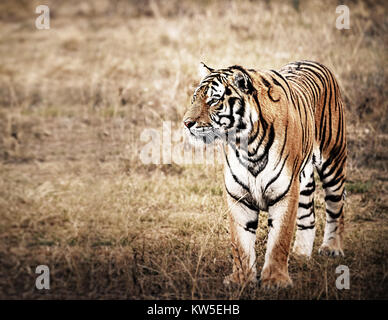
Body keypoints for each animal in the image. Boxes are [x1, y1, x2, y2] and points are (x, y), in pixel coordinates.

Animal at [183, 60, 348, 290]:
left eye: (214, 100)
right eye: (194, 98)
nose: (186, 123)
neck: (247, 145)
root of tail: (316, 62)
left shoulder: (285, 194)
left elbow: (279, 239)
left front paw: (275, 280)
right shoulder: (238, 196)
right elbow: (240, 243)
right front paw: (241, 279)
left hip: (333, 162)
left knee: (336, 208)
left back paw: (332, 247)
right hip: (303, 181)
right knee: (308, 217)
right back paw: (300, 254)